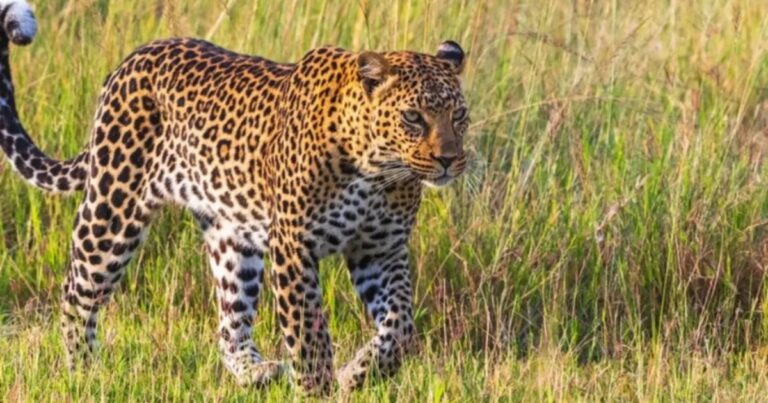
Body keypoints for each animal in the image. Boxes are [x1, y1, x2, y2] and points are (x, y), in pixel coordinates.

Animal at [0, 1, 469, 395]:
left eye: (459, 115)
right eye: (413, 117)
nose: (450, 160)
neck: (376, 171)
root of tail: (130, 61)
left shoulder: (381, 249)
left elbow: (400, 327)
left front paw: (357, 373)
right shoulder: (293, 246)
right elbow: (309, 335)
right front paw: (318, 388)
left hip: (231, 238)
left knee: (230, 322)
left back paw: (254, 372)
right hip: (113, 209)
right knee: (76, 292)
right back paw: (83, 372)